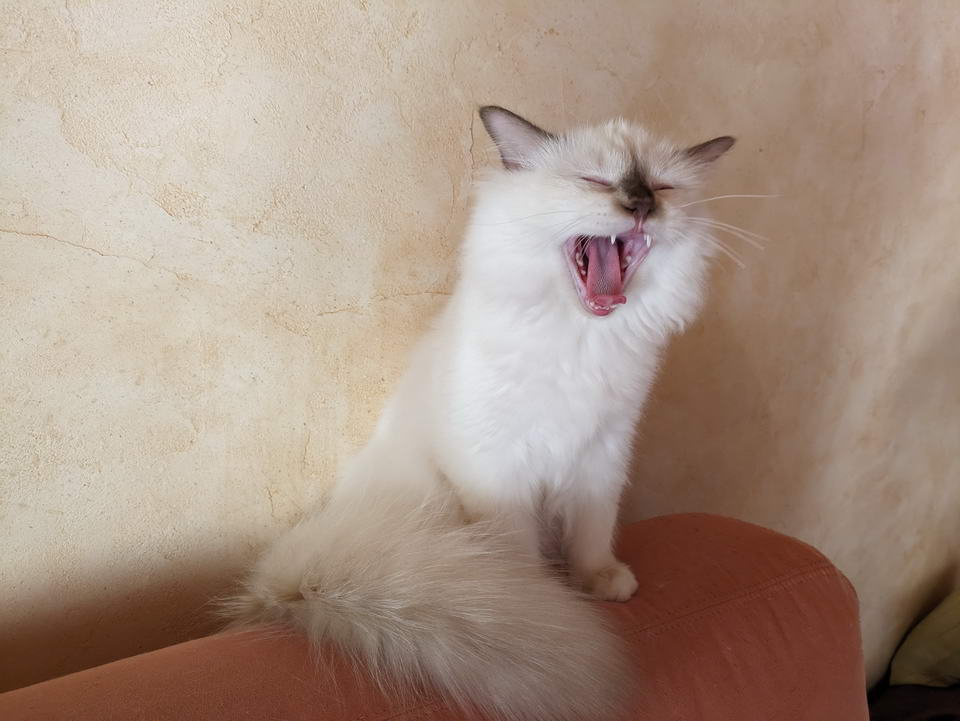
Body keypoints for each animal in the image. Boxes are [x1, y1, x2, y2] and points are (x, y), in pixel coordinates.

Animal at [224, 106, 735, 721]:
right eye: (593, 180)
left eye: (662, 187)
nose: (640, 206)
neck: (580, 338)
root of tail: (269, 597)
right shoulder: (499, 468)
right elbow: (520, 555)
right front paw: (546, 601)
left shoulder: (602, 454)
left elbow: (592, 532)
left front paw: (601, 582)